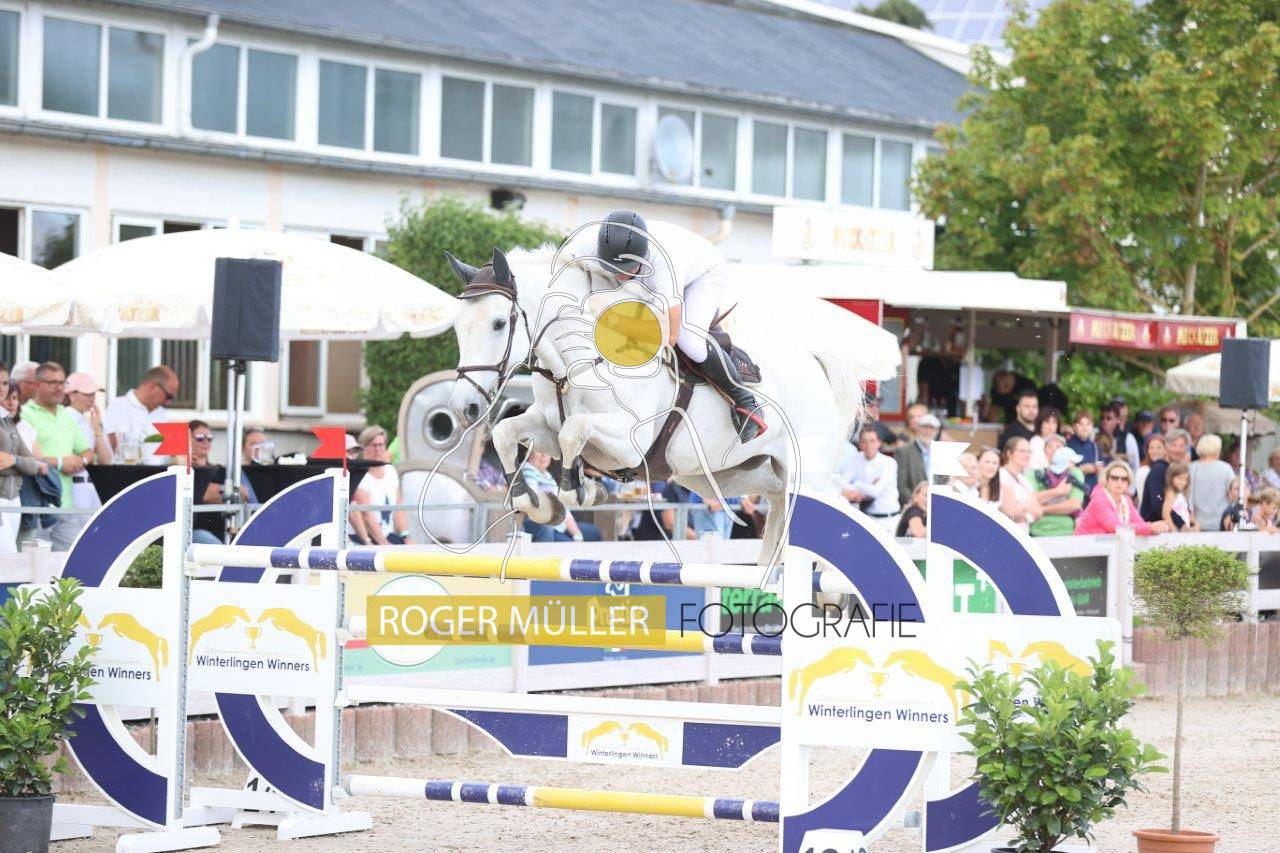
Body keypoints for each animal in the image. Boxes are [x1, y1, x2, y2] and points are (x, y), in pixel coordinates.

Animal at [445, 244, 898, 571]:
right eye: (457, 326)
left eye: (499, 323)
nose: (465, 407)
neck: (575, 361)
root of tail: (814, 363)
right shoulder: (545, 424)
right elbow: (508, 433)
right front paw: (536, 503)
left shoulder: (627, 443)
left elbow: (575, 432)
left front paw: (580, 488)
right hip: (754, 477)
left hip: (808, 475)